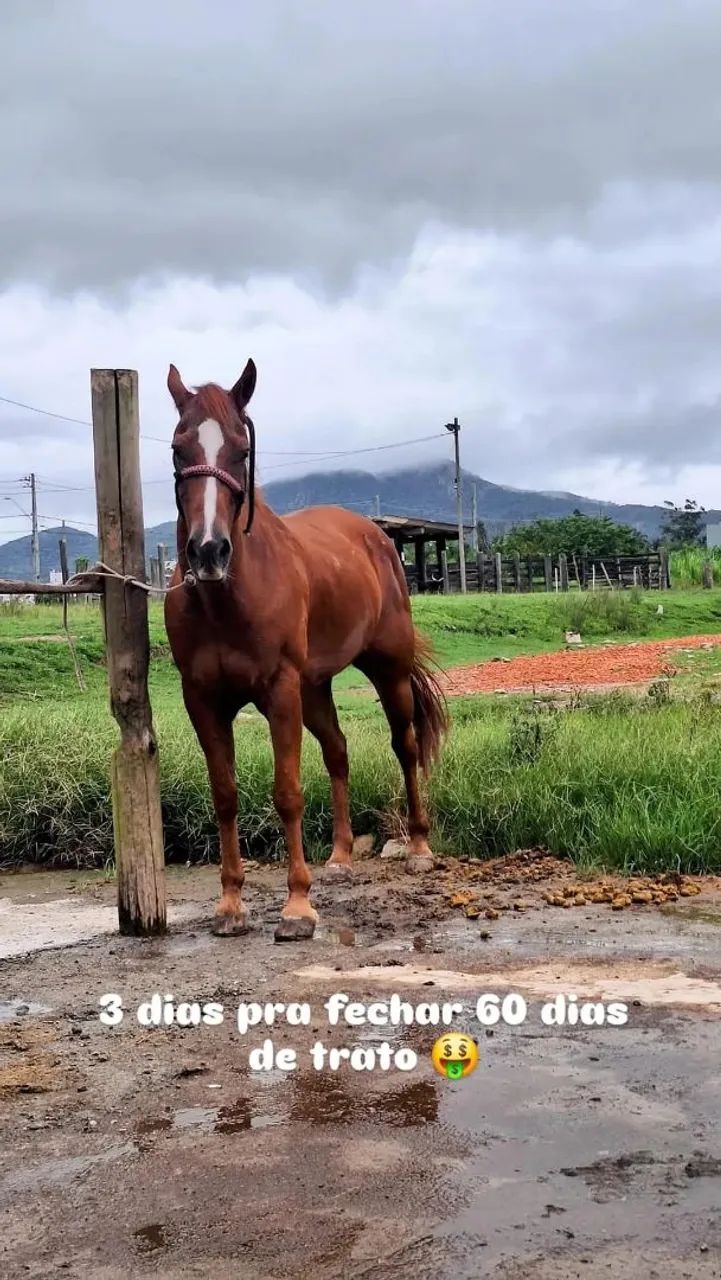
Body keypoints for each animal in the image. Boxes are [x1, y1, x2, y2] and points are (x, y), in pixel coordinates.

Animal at [164, 359, 449, 941]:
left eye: (241, 449)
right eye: (180, 447)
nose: (208, 551)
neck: (226, 598)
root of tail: (377, 537)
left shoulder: (279, 690)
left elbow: (288, 792)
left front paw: (297, 907)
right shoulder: (202, 699)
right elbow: (224, 796)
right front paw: (231, 904)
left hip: (386, 671)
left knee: (405, 746)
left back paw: (418, 846)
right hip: (315, 688)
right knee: (338, 751)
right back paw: (339, 858)